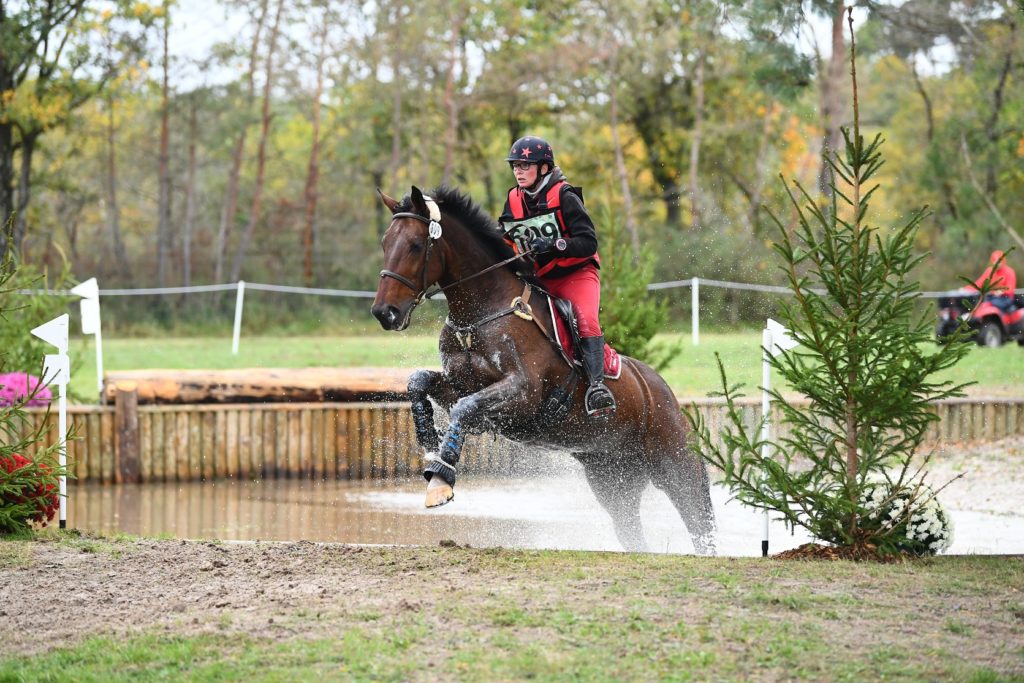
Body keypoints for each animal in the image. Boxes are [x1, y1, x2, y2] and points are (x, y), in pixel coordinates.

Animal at [372, 183, 716, 557]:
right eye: (385, 244)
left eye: (415, 245)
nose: (384, 313)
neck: (480, 314)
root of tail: (663, 390)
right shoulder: (460, 388)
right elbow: (420, 382)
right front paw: (428, 443)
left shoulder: (524, 395)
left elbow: (466, 408)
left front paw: (440, 478)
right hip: (612, 476)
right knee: (632, 530)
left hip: (673, 464)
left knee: (699, 521)